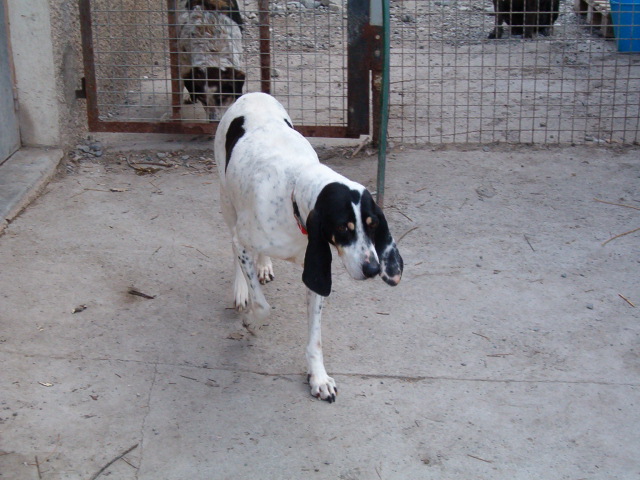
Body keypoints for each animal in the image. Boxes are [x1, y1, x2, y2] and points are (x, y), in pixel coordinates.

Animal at [215, 92, 404, 404]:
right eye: (343, 228)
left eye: (372, 223)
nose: (373, 269)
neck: (295, 185)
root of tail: (254, 93)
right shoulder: (243, 241)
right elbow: (262, 305)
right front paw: (251, 320)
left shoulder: (315, 270)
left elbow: (315, 338)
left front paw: (318, 377)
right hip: (227, 201)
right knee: (232, 246)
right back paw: (241, 288)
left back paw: (263, 265)